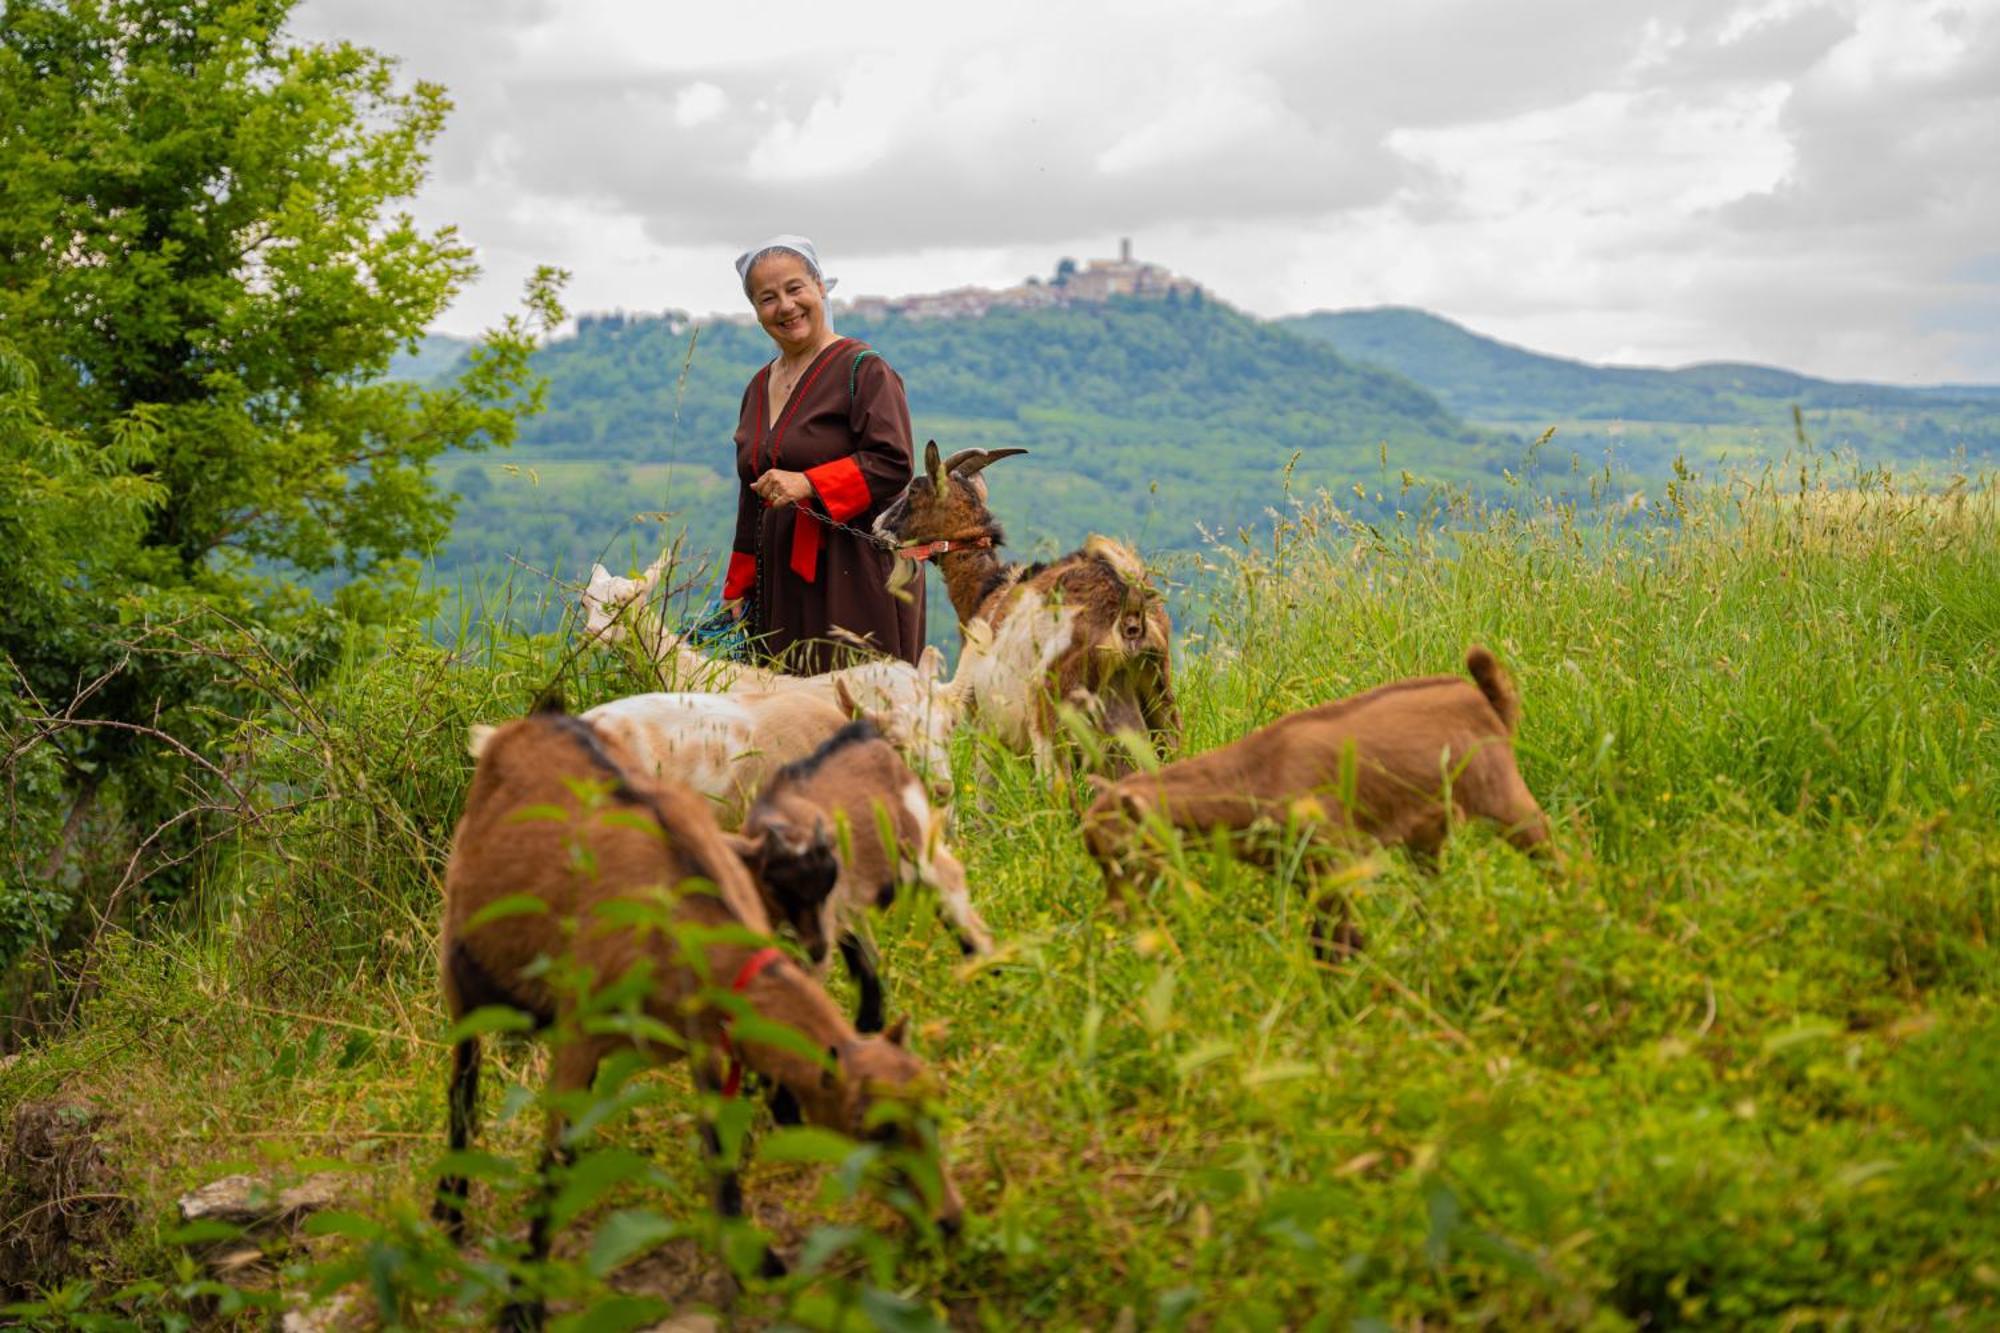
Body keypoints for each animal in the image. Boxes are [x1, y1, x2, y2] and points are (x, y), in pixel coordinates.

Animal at [728, 716, 992, 1024]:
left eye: (826, 885)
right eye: (774, 886)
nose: (815, 949)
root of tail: (866, 733)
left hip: (919, 848)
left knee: (951, 887)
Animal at [872, 440, 1176, 772]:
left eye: (914, 490)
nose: (876, 526)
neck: (986, 589)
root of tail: (1127, 611)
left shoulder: (984, 719)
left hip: (1050, 714)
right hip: (1158, 699)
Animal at [1088, 644, 1552, 956]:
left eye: (1121, 853)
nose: (1119, 914)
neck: (1254, 773)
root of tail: (1485, 700)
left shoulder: (1333, 859)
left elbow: (1335, 942)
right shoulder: (1300, 871)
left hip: (1503, 795)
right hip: (1426, 833)